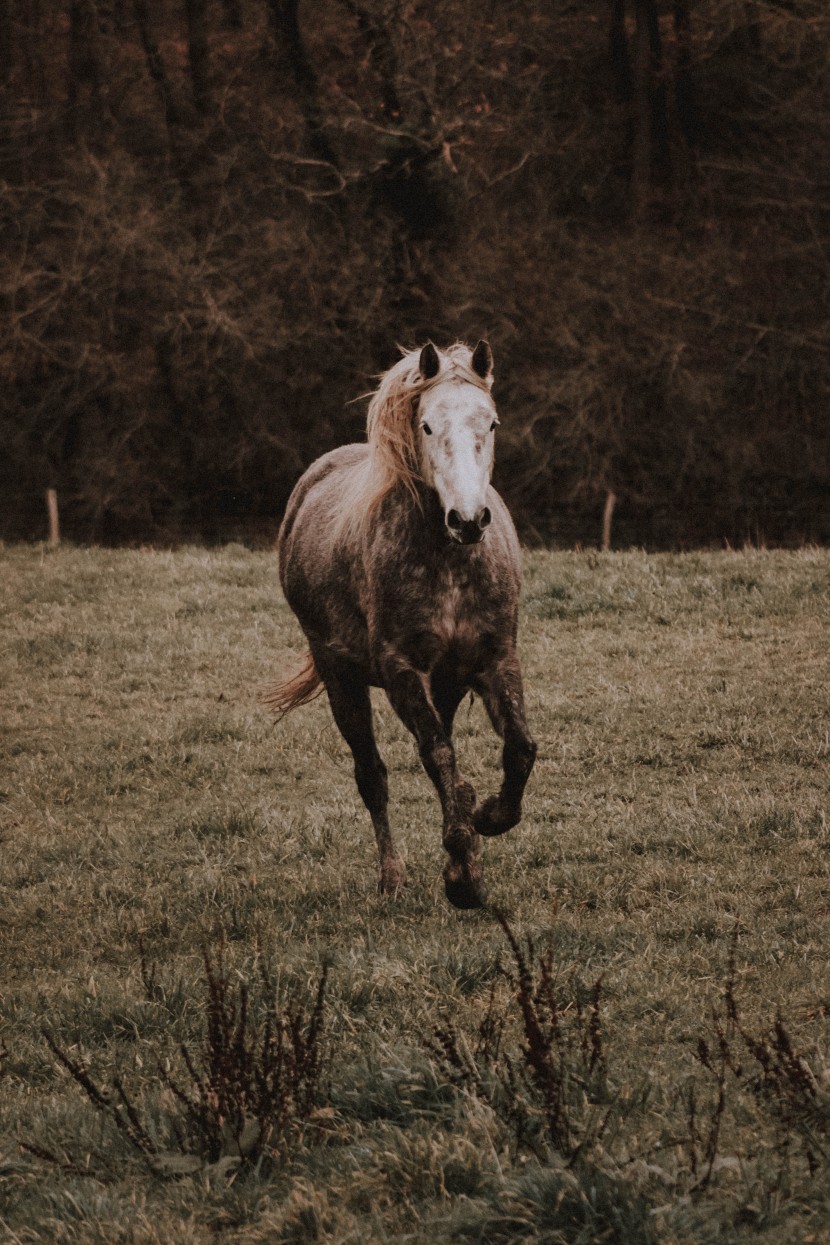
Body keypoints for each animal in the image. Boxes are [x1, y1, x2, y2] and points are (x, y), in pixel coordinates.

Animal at [267, 341, 540, 906]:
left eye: (492, 422)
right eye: (428, 426)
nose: (468, 520)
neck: (450, 562)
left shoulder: (494, 660)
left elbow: (519, 748)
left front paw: (487, 818)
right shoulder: (400, 671)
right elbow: (436, 754)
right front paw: (463, 875)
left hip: (447, 683)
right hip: (342, 680)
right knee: (373, 776)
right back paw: (392, 877)